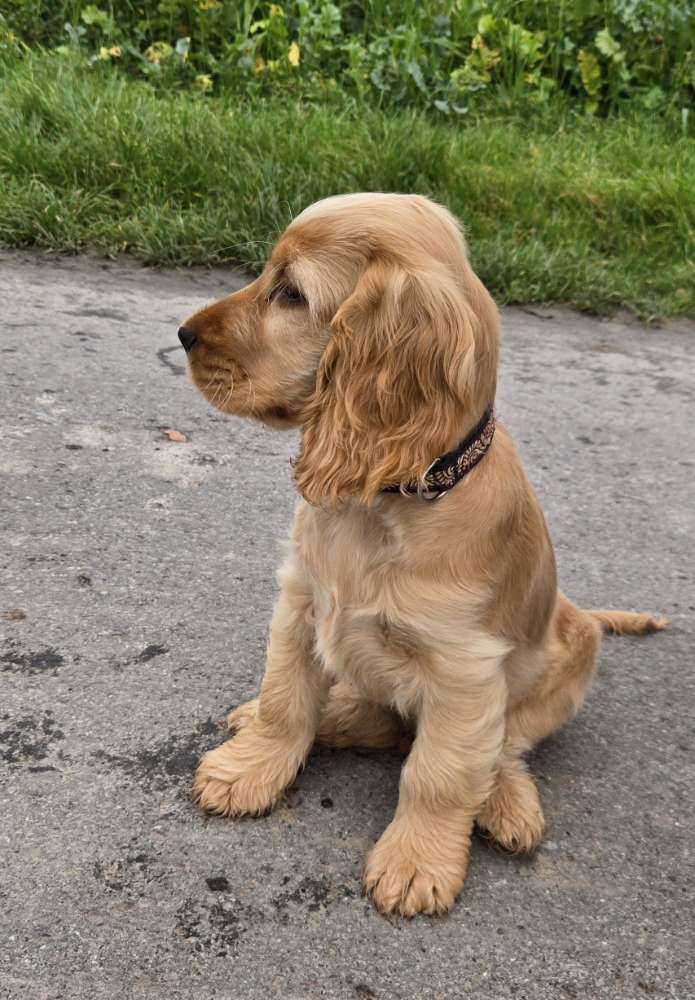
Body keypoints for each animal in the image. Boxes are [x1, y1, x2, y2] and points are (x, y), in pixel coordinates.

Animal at [178, 191, 664, 916]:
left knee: (501, 746)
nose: (183, 334)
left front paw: (415, 862)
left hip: (572, 653)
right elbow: (285, 701)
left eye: (291, 294)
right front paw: (248, 770)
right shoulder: (300, 603)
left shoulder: (464, 668)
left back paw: (506, 803)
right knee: (370, 715)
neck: (385, 498)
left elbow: (438, 773)